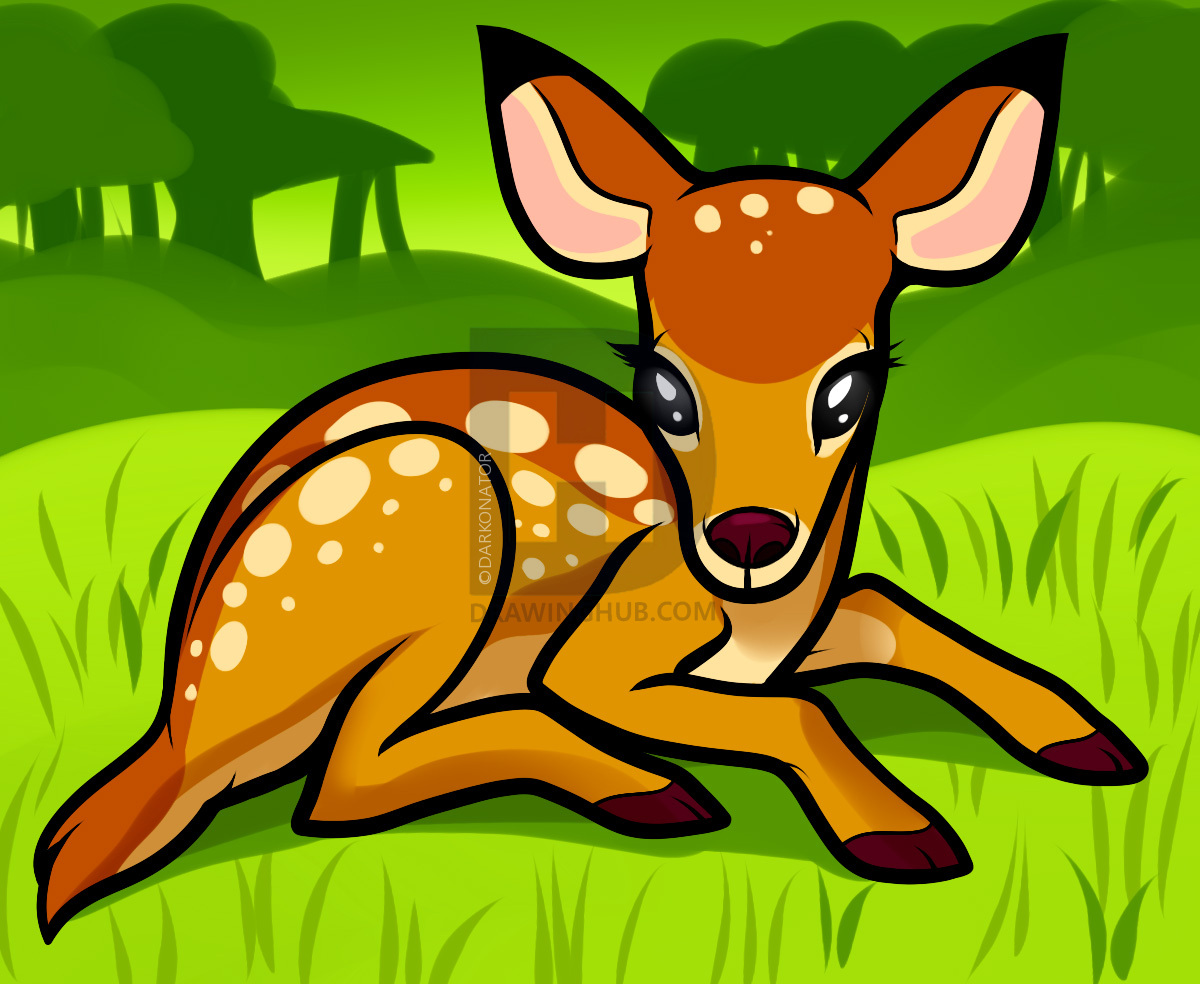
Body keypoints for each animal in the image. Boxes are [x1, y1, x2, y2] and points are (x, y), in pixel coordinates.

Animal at [37, 27, 1146, 942]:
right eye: (661, 382)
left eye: (853, 387)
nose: (750, 537)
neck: (757, 620)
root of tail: (179, 729)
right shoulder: (597, 655)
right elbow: (794, 708)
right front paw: (899, 834)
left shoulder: (796, 627)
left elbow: (887, 606)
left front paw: (1089, 735)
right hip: (427, 501)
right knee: (340, 785)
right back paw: (645, 788)